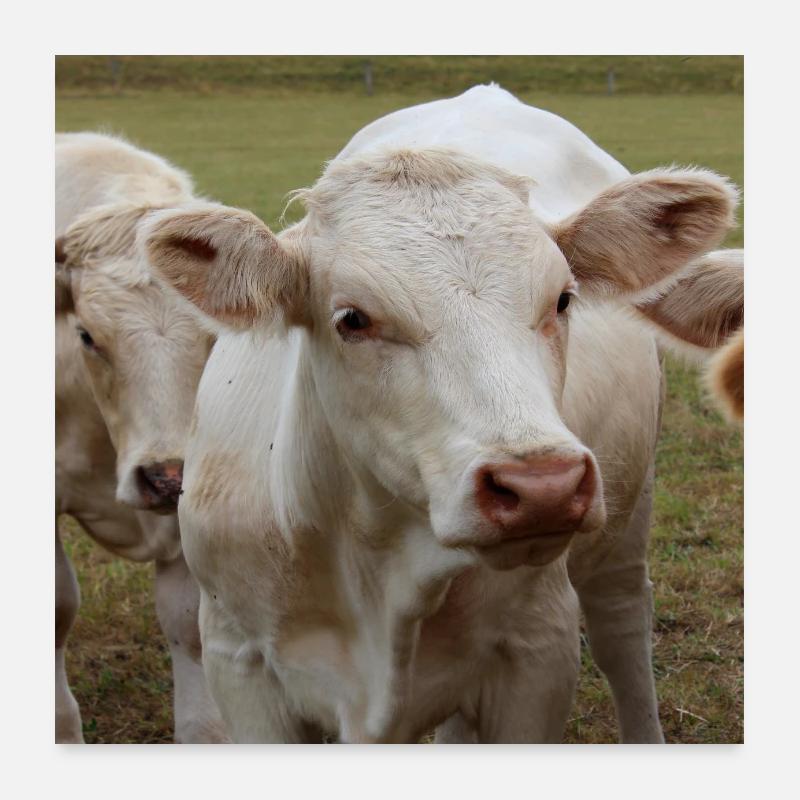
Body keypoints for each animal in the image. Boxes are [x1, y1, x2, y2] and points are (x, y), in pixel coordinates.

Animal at [142, 85, 740, 743]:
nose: (543, 487)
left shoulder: (538, 649)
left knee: (623, 630)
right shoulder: (237, 658)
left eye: (563, 299)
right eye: (352, 318)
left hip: (625, 523)